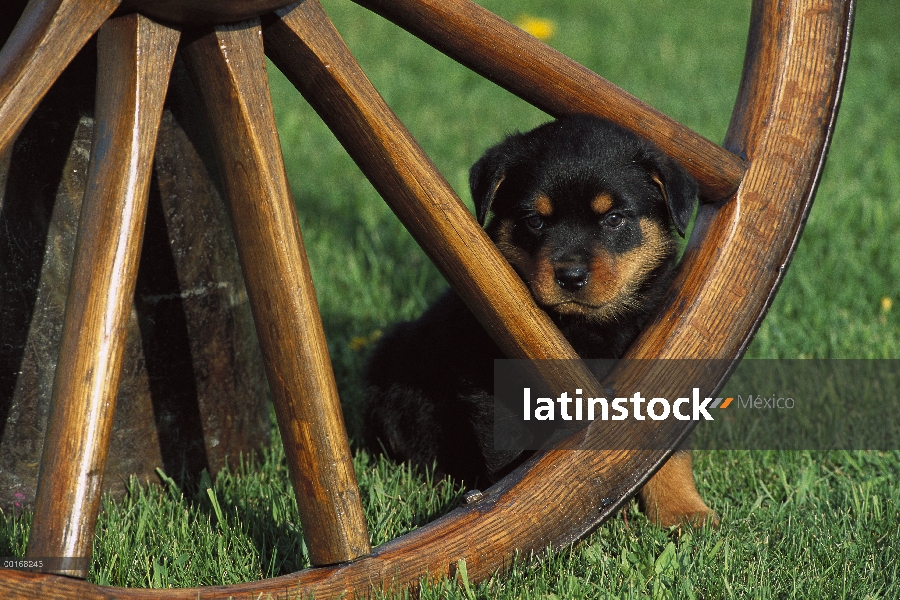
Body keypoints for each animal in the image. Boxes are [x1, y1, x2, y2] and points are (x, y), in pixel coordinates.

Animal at [362, 116, 712, 524]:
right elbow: (512, 456)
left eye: (613, 219)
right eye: (533, 220)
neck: (586, 325)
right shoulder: (495, 390)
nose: (571, 276)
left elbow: (669, 447)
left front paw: (683, 511)